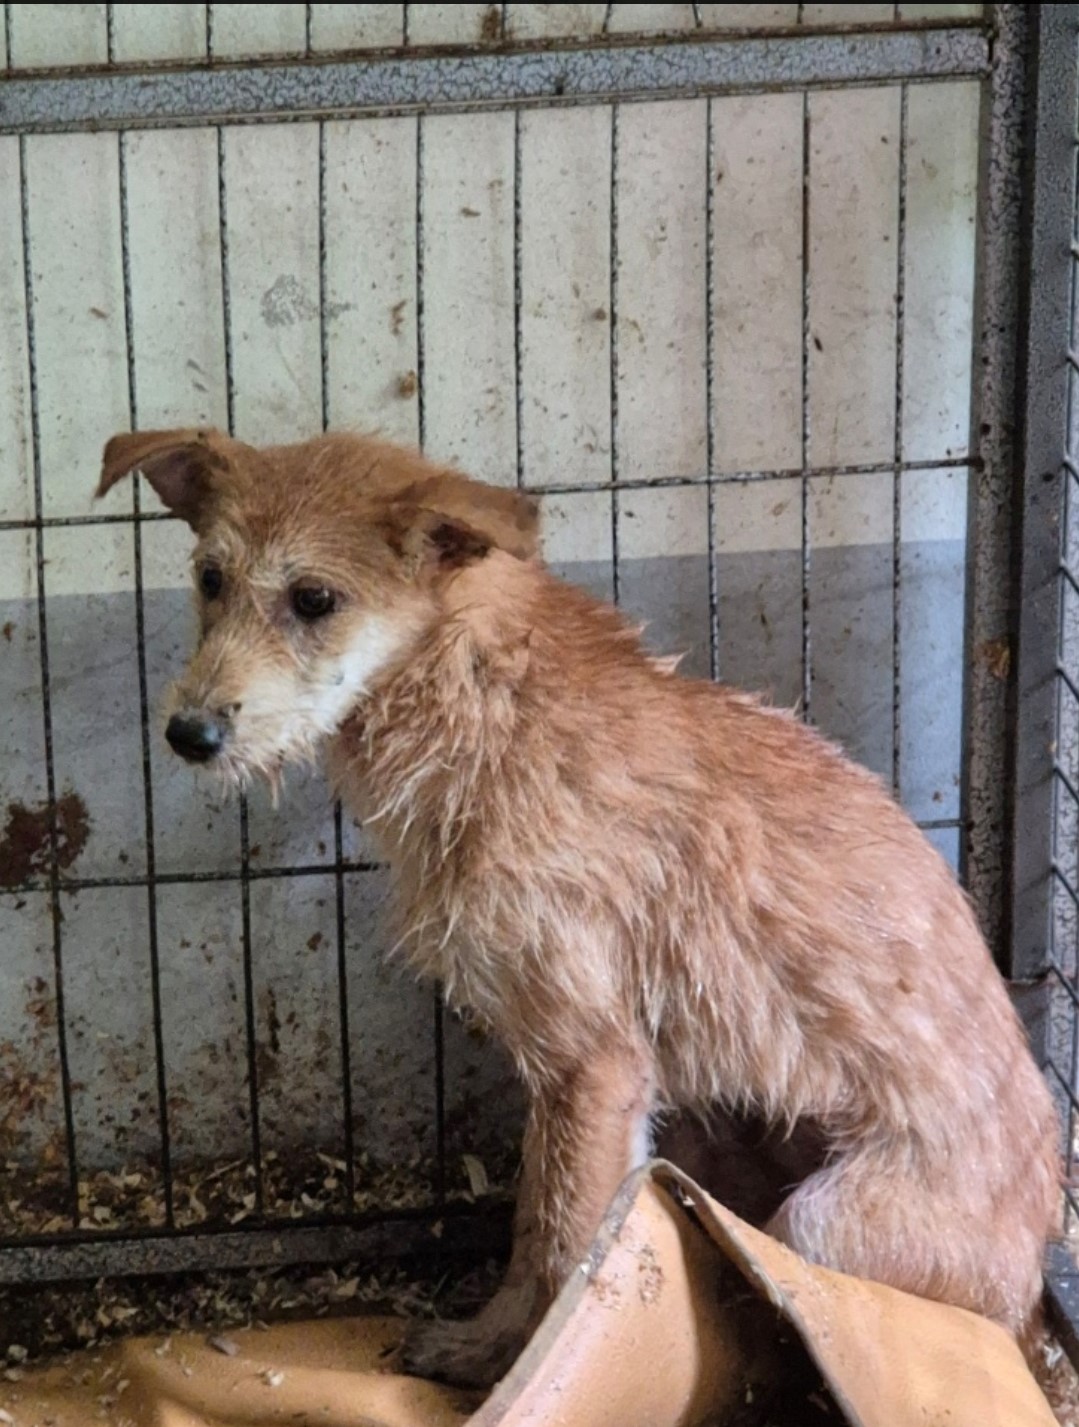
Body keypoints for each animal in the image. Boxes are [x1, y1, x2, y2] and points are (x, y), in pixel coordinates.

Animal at [97, 428, 1056, 1387]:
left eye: (314, 599)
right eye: (209, 578)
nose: (188, 735)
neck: (479, 701)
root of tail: (1034, 1276)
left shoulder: (591, 1061)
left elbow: (567, 1251)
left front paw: (520, 1368)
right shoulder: (571, 1077)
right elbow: (534, 1223)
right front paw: (489, 1344)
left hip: (823, 1219)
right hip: (703, 1134)